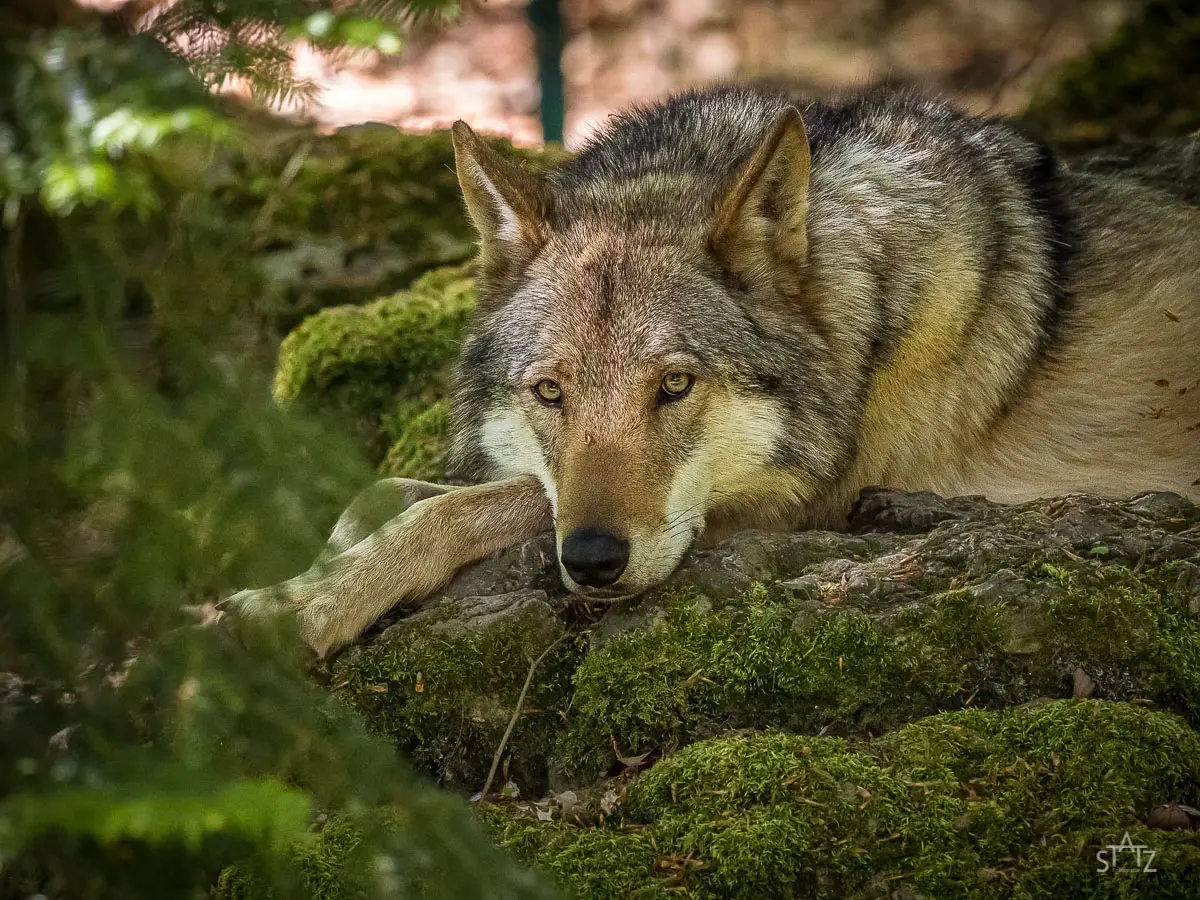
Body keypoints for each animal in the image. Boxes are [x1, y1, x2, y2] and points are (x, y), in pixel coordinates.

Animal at [230, 85, 1200, 657]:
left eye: (674, 385)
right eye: (550, 393)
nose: (592, 561)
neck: (861, 309)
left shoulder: (799, 499)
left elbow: (448, 512)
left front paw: (292, 610)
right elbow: (389, 492)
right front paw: (305, 577)